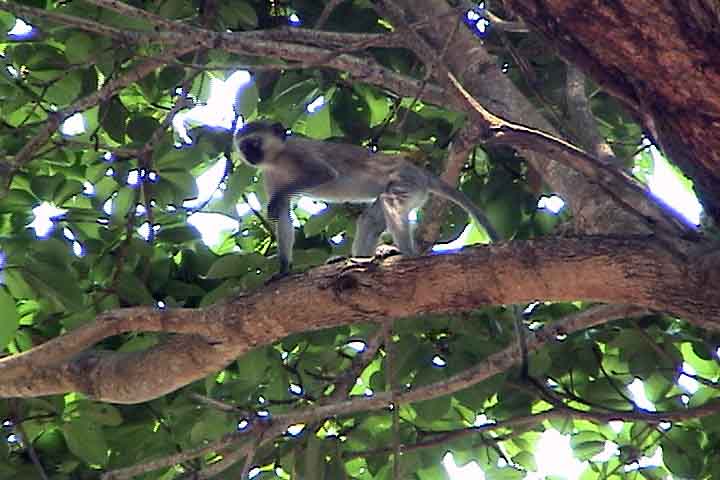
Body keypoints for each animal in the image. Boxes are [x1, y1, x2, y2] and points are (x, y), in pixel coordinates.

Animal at [233, 121, 498, 279]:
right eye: (245, 147)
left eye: (254, 143)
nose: (250, 155)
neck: (277, 159)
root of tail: (421, 173)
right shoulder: (268, 175)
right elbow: (284, 215)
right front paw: (284, 268)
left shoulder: (299, 152)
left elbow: (323, 174)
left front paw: (281, 197)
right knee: (371, 218)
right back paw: (357, 259)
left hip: (407, 182)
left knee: (390, 201)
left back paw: (406, 254)